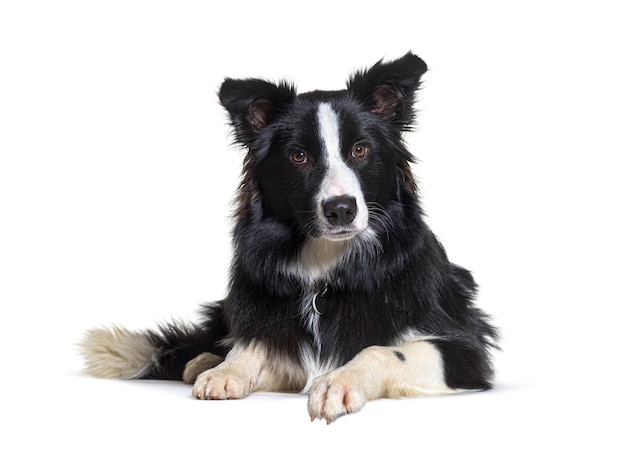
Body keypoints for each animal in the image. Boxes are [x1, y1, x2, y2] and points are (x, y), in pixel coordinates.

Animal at [80, 53, 498, 424]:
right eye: (299, 156)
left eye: (360, 149)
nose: (341, 209)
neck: (325, 266)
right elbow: (255, 343)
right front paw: (229, 369)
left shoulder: (466, 351)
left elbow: (384, 350)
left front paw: (337, 382)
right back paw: (204, 360)